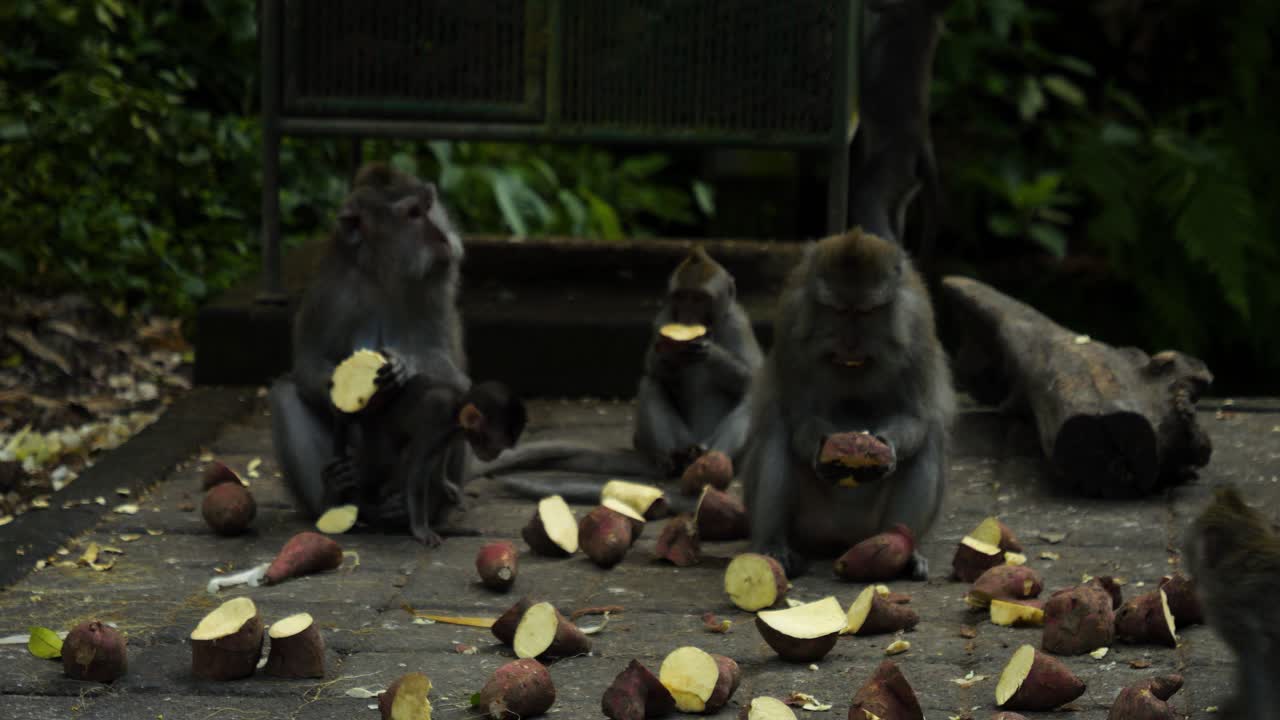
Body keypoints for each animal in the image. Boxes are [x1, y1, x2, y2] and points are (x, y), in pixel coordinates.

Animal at [268, 162, 472, 544]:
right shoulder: (330, 291)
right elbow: (308, 364)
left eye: (429, 206)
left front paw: (405, 367)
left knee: (457, 396)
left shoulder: (438, 281)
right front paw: (339, 392)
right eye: (413, 214)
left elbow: (450, 367)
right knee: (286, 394)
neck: (382, 272)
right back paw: (335, 495)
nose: (442, 236)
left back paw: (413, 508)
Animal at [469, 247, 763, 500]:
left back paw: (708, 459)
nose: (688, 317)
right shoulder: (663, 319)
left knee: (749, 403)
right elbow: (654, 370)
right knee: (650, 384)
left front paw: (709, 351)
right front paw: (667, 355)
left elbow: (752, 378)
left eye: (700, 299)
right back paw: (672, 461)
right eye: (682, 297)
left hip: (724, 452)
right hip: (676, 438)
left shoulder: (737, 322)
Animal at [739, 227, 955, 578]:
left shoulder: (918, 325)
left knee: (931, 435)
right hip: (812, 524)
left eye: (865, 312)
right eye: (839, 311)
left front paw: (887, 446)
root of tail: (842, 540)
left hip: (867, 526)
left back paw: (900, 547)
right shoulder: (790, 323)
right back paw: (774, 546)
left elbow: (915, 416)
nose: (850, 344)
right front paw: (820, 450)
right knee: (777, 424)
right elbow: (799, 415)